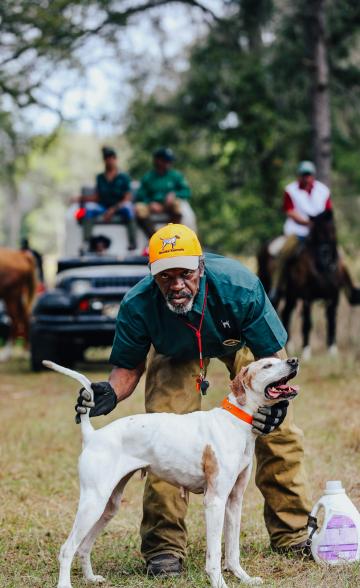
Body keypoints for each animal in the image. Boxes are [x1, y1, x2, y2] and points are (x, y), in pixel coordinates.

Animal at [43, 354, 300, 588]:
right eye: (267, 365)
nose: (294, 361)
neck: (236, 421)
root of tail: (93, 435)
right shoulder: (215, 501)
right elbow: (215, 555)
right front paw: (219, 583)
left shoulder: (234, 501)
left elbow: (232, 551)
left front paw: (244, 578)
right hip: (92, 503)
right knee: (67, 549)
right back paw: (65, 584)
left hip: (107, 507)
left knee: (84, 546)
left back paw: (90, 578)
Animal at [258, 211, 358, 358]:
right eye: (315, 232)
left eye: (333, 231)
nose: (325, 255)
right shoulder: (307, 296)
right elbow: (307, 322)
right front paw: (306, 351)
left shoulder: (334, 296)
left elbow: (332, 320)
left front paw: (332, 350)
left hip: (291, 296)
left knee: (286, 314)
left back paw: (288, 345)